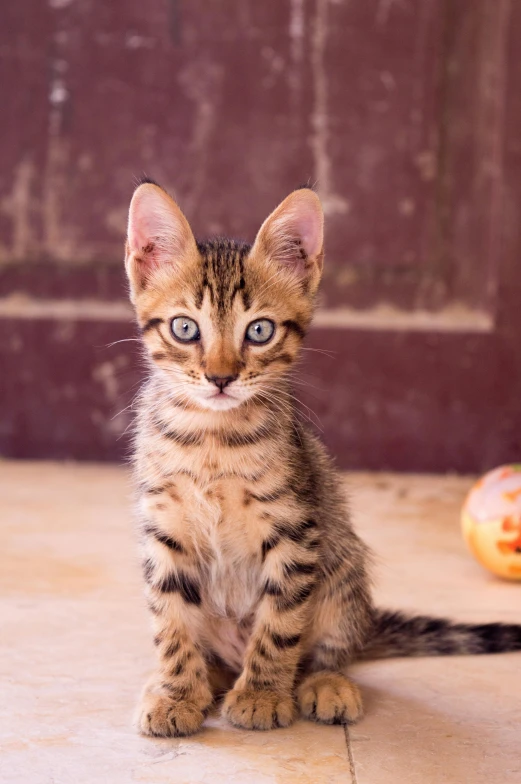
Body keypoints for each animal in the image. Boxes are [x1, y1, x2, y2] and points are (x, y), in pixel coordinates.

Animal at [125, 181, 520, 740]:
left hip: (341, 568)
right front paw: (178, 691)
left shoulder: (296, 528)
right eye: (184, 328)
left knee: (331, 649)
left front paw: (262, 694)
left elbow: (279, 623)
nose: (221, 378)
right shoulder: (164, 528)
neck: (213, 441)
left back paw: (322, 683)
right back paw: (204, 679)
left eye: (259, 331)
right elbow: (170, 619)